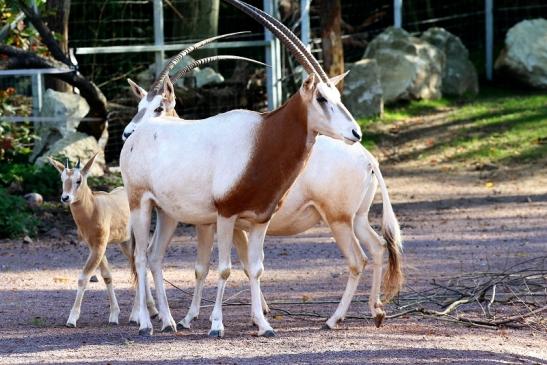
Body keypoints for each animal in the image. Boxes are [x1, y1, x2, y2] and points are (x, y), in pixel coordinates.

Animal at [48, 154, 157, 328]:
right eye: (62, 178)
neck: (93, 208)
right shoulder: (94, 246)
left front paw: (72, 319)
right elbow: (107, 276)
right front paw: (114, 315)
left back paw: (136, 315)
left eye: (79, 180)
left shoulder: (99, 246)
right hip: (125, 243)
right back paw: (148, 311)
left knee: (140, 267)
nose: (65, 198)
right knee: (138, 268)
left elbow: (83, 278)